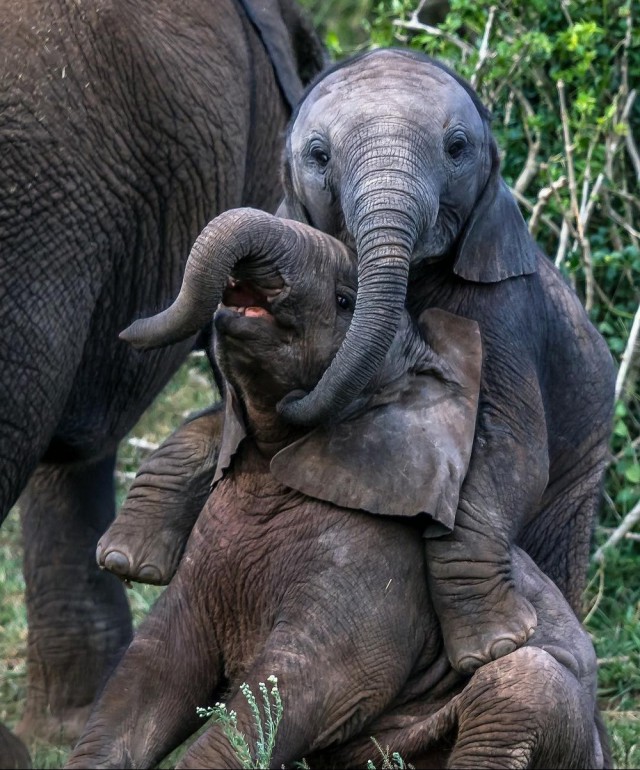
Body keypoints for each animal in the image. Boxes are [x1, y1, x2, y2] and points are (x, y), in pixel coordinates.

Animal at [69, 208, 604, 768]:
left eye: (345, 301)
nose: (124, 330)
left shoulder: (379, 570)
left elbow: (306, 684)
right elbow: (155, 668)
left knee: (522, 683)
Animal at [122, 51, 616, 680]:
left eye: (457, 148)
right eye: (318, 155)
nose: (127, 330)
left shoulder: (506, 312)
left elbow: (510, 452)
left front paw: (495, 646)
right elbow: (222, 417)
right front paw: (129, 562)